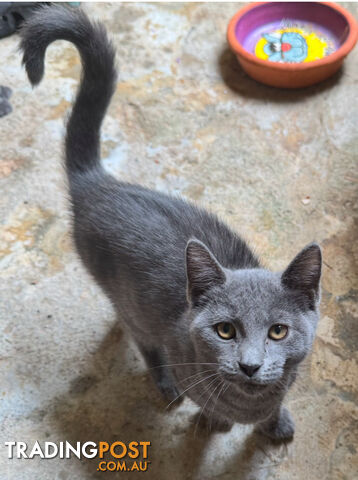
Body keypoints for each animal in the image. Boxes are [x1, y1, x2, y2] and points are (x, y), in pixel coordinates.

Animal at [19, 5, 322, 440]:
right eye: (225, 330)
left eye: (278, 331)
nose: (249, 365)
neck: (249, 402)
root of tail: (98, 183)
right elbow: (209, 404)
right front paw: (218, 421)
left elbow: (275, 403)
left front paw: (275, 422)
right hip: (131, 306)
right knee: (141, 337)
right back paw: (165, 385)